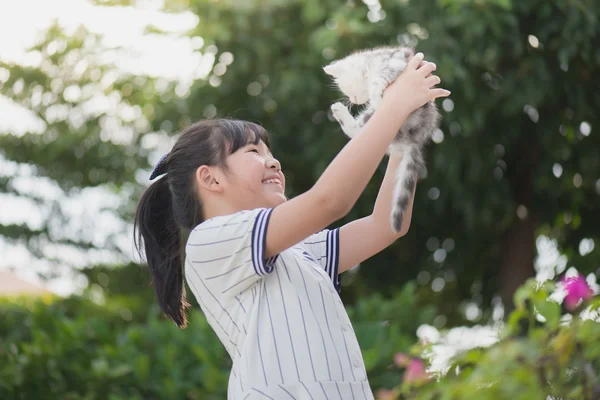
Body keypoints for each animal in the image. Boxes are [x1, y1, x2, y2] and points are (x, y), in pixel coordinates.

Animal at [324, 46, 440, 234]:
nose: (355, 100)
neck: (370, 64)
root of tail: (414, 137)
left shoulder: (395, 64)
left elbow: (377, 82)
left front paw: (377, 98)